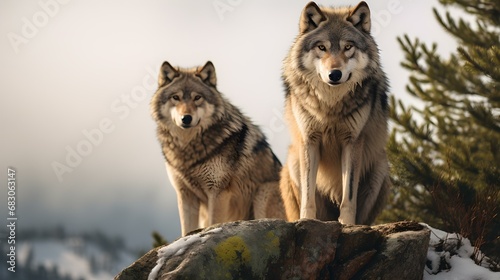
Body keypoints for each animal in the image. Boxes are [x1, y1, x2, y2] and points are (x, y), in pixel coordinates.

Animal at [150, 60, 286, 235]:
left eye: (197, 97)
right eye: (176, 97)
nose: (186, 118)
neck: (189, 147)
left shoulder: (218, 192)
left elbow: (214, 223)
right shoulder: (185, 195)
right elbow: (186, 230)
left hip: (264, 191)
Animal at [278, 1, 390, 224]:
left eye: (348, 47)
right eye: (322, 47)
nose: (335, 74)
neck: (330, 104)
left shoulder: (352, 141)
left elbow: (349, 194)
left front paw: (347, 224)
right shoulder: (309, 140)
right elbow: (308, 195)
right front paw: (307, 221)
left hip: (381, 166)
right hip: (293, 161)